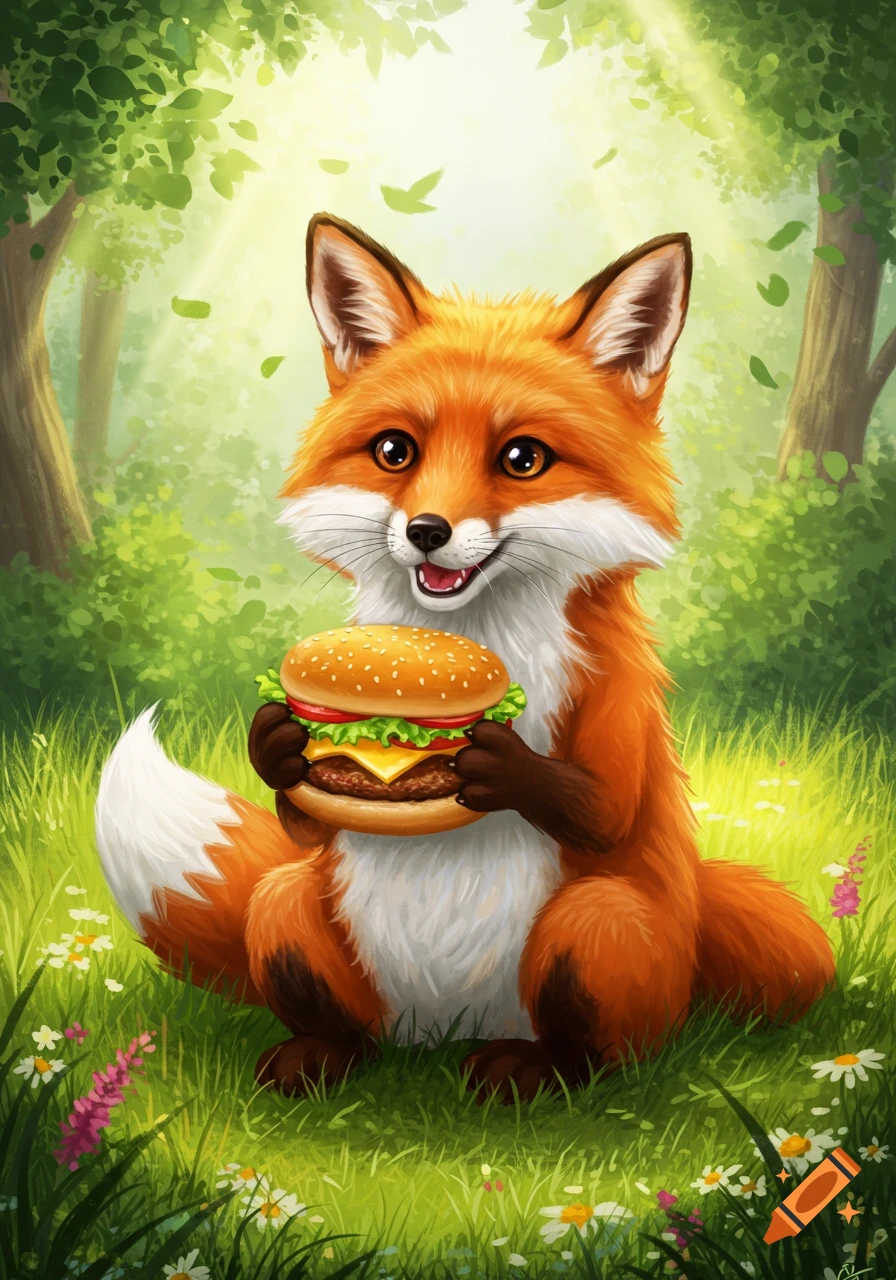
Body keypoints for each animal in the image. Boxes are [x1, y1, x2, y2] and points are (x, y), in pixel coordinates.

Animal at [95, 214, 836, 1101]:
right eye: (394, 451)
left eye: (522, 459)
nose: (427, 530)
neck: (471, 634)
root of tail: (442, 1030)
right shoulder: (317, 833)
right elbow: (304, 816)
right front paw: (275, 743)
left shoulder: (618, 704)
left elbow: (606, 806)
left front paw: (499, 761)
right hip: (289, 909)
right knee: (329, 987)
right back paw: (319, 1057)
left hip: (599, 928)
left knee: (606, 1053)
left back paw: (530, 1073)